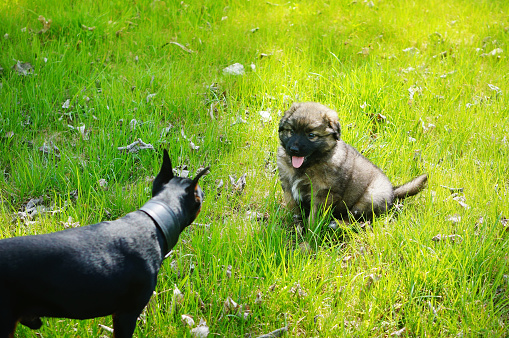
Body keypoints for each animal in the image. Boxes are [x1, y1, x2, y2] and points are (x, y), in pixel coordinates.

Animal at [276, 101, 426, 226]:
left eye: (311, 135)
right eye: (291, 131)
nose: (293, 149)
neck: (306, 167)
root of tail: (393, 193)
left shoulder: (322, 195)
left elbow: (313, 218)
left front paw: (310, 234)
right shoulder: (288, 187)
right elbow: (293, 207)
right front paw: (294, 224)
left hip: (370, 197)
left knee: (356, 219)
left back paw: (338, 224)